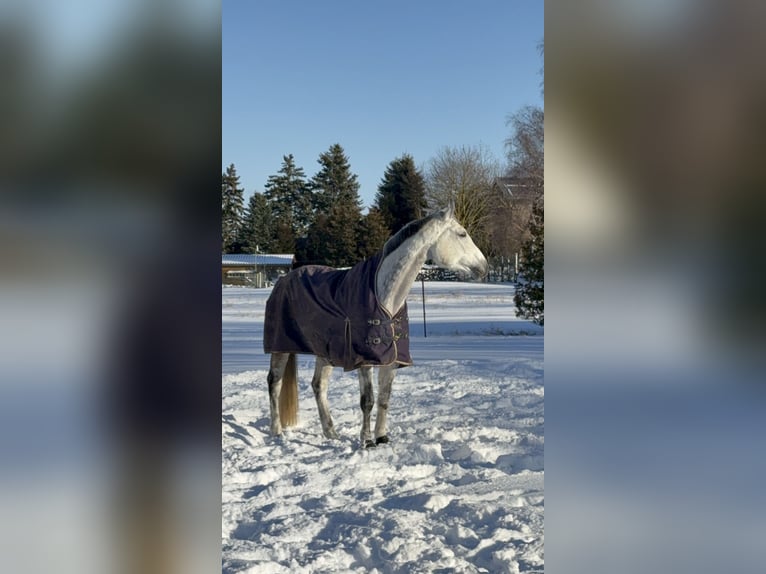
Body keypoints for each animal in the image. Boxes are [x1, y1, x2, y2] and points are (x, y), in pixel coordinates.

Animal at [263, 204, 488, 447]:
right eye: (462, 234)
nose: (484, 267)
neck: (384, 296)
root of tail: (283, 280)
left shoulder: (391, 360)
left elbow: (384, 398)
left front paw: (382, 437)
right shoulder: (365, 360)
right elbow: (367, 401)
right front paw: (367, 440)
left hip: (325, 352)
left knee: (318, 386)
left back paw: (331, 433)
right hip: (280, 347)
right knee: (274, 382)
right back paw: (277, 431)